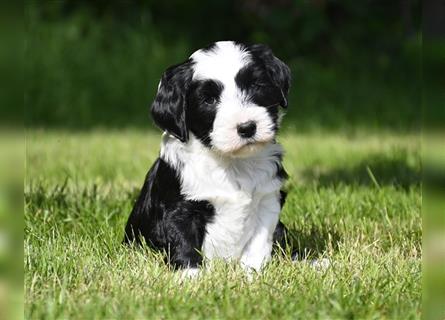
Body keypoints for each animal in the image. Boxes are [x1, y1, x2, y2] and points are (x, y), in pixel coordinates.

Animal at [123, 40, 290, 276]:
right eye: (209, 100)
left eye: (256, 86)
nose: (247, 127)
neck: (232, 162)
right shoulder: (178, 209)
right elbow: (184, 242)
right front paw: (190, 277)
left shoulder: (267, 199)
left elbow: (258, 244)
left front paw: (251, 274)